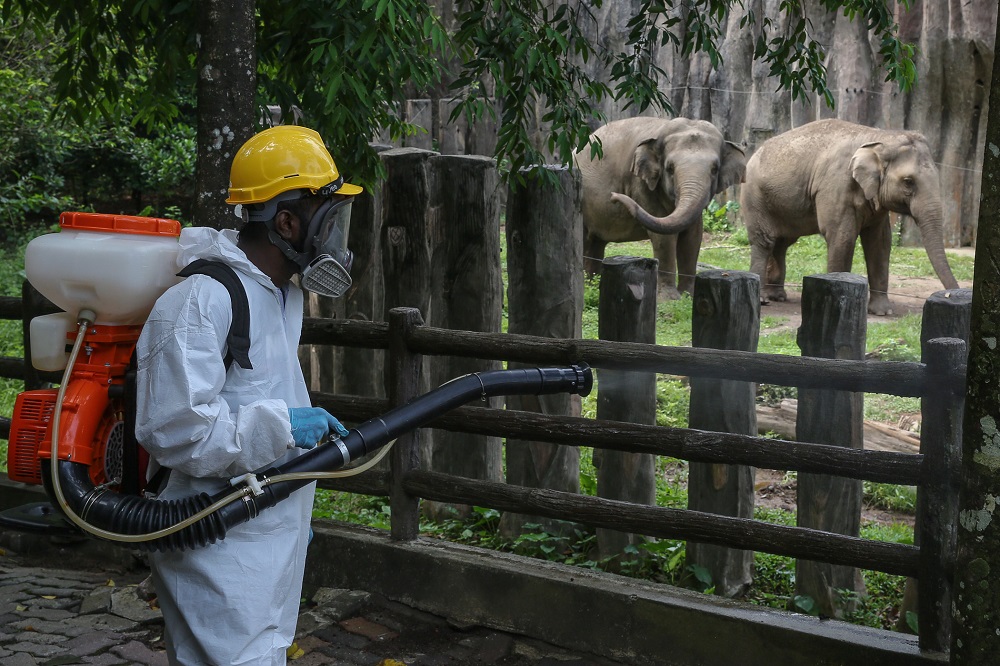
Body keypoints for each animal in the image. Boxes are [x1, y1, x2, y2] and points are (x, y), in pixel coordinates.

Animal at [576, 116, 748, 298]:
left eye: (715, 169)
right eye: (670, 169)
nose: (613, 197)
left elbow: (693, 236)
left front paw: (688, 295)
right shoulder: (640, 183)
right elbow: (664, 238)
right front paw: (669, 298)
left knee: (596, 244)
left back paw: (593, 285)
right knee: (585, 240)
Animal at [740, 118, 956, 314]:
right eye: (908, 181)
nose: (950, 295)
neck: (879, 137)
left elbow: (880, 244)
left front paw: (883, 312)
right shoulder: (835, 186)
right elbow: (842, 237)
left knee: (782, 243)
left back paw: (776, 297)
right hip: (754, 196)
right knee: (765, 241)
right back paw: (762, 299)